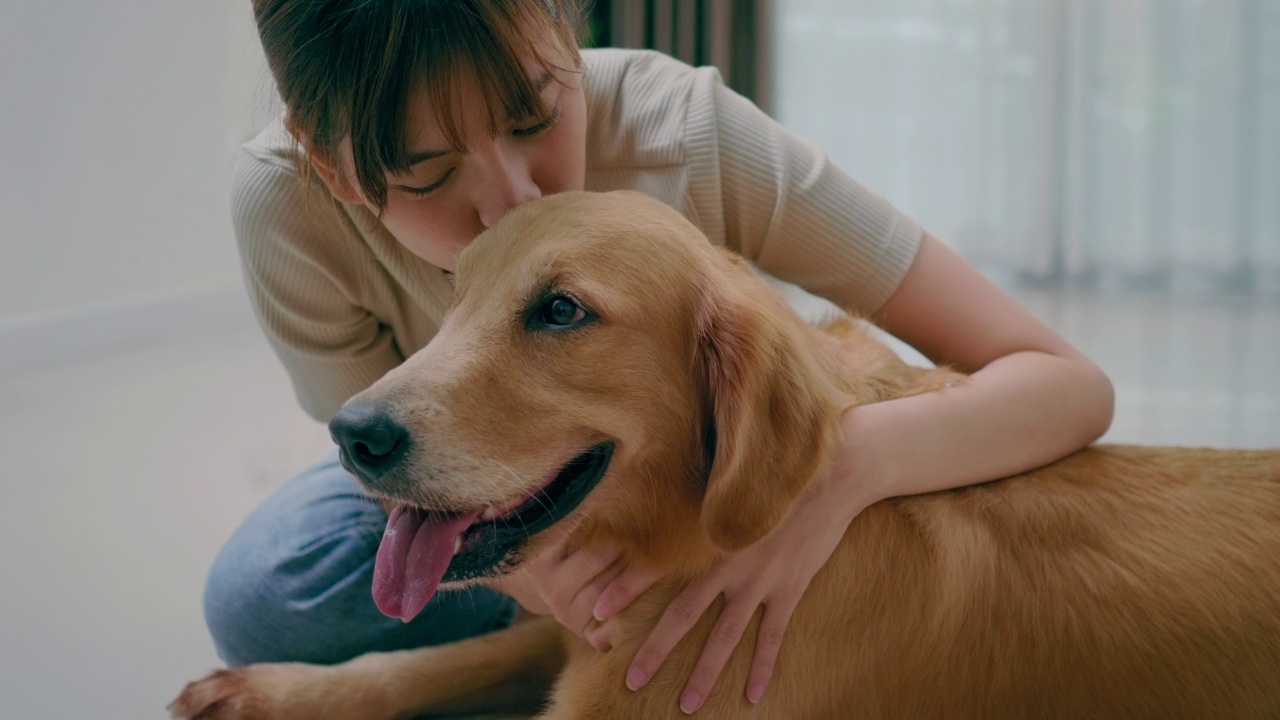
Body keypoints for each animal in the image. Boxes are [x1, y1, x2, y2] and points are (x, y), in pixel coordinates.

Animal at [172, 190, 1280, 717]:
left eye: (561, 310)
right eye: (457, 295)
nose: (352, 433)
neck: (693, 537)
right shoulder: (586, 638)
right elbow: (438, 655)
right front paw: (270, 693)